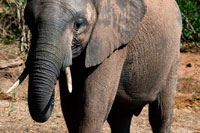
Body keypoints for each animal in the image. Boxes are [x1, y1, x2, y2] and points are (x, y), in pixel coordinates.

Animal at [10, 0, 182, 132]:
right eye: (28, 21)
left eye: (78, 24)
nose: (51, 101)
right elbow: (71, 108)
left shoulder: (112, 41)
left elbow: (91, 109)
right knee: (120, 117)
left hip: (173, 54)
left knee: (160, 116)